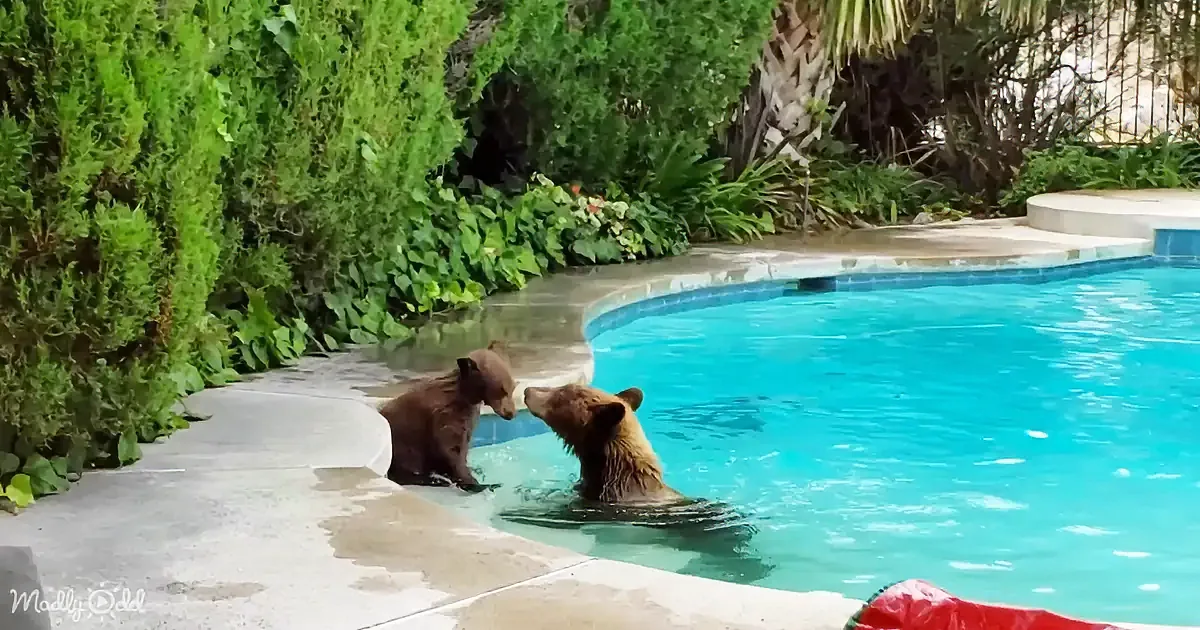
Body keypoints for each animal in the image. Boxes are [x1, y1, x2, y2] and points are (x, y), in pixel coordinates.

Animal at [380, 341, 516, 492]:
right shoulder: (445, 415)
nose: (511, 413)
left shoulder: (467, 417)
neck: (465, 395)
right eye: (502, 390)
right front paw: (478, 483)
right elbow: (451, 449)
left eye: (512, 387)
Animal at [503, 382, 775, 583]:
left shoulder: (608, 504)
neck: (610, 469)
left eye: (562, 394)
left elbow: (565, 514)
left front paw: (516, 511)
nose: (528, 391)